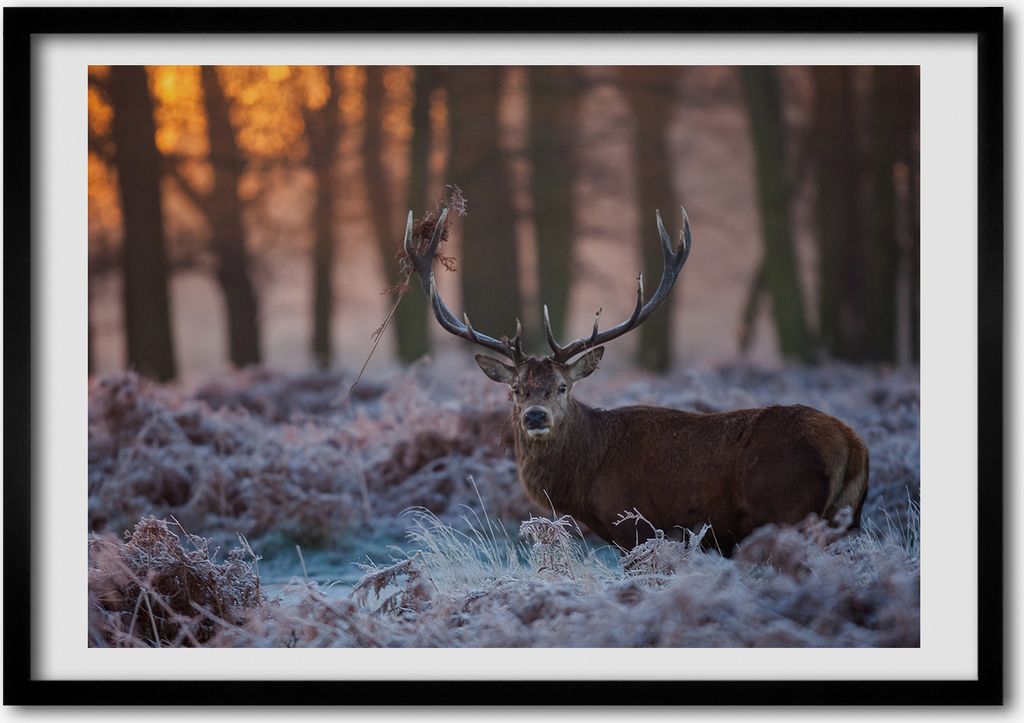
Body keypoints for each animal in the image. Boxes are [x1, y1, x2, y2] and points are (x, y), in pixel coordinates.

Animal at [402, 207, 869, 555]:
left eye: (563, 387)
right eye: (516, 389)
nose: (535, 416)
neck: (586, 480)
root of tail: (853, 445)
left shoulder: (638, 528)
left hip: (787, 508)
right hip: (844, 519)